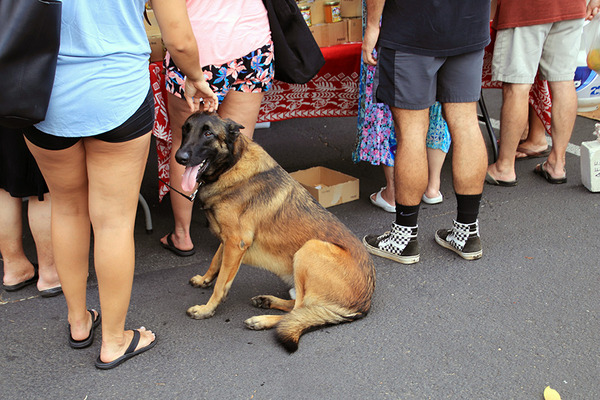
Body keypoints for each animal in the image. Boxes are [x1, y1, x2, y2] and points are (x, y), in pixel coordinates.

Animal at [175, 111, 376, 350]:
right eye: (185, 129)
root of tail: (365, 304)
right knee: (298, 307)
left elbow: (222, 284)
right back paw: (267, 301)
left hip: (310, 248)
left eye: (208, 134)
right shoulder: (228, 240)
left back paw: (262, 320)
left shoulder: (235, 242)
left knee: (298, 312)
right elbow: (216, 262)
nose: (179, 157)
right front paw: (204, 279)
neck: (232, 164)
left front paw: (207, 309)